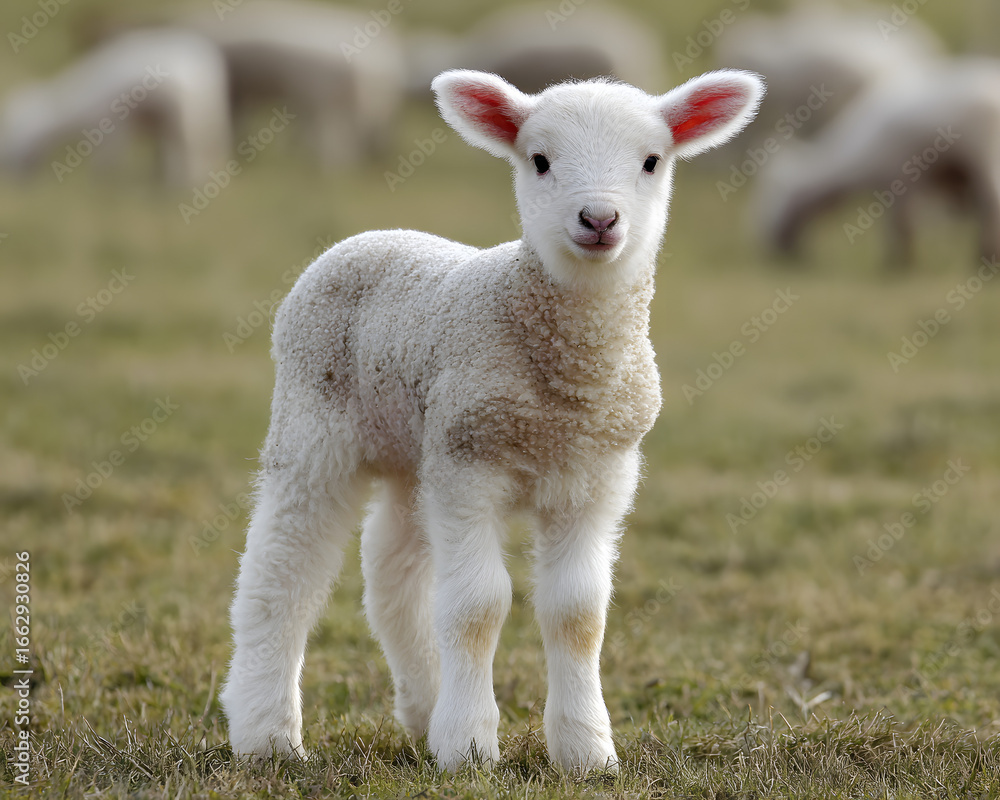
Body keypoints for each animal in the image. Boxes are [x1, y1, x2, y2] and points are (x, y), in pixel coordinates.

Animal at [0, 28, 231, 185]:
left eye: (15, 133)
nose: (10, 177)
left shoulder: (110, 128)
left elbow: (106, 163)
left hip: (189, 120)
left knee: (193, 155)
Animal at [219, 67, 764, 774]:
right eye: (540, 160)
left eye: (652, 161)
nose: (599, 218)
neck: (565, 391)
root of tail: (373, 235)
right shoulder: (470, 466)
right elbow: (478, 606)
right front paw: (471, 747)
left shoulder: (596, 476)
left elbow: (577, 613)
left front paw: (586, 750)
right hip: (318, 421)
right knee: (283, 571)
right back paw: (267, 734)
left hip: (417, 448)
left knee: (393, 573)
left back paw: (425, 709)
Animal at [753, 57, 1000, 266]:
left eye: (773, 192)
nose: (766, 244)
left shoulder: (899, 178)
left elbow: (902, 227)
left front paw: (899, 264)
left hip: (986, 157)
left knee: (992, 203)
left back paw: (986, 256)